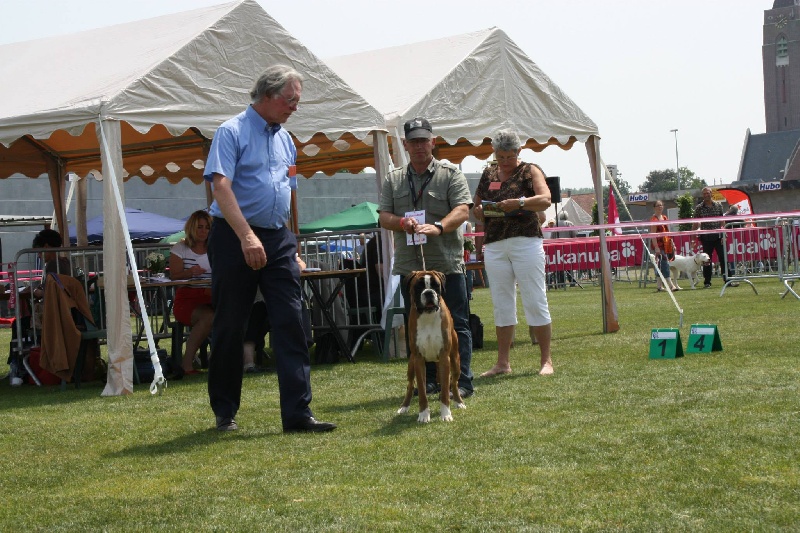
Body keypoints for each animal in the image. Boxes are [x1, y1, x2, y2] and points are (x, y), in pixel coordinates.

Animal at [396, 272, 466, 422]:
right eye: (418, 286)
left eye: (436, 285)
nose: (428, 292)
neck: (427, 316)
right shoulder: (418, 359)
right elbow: (422, 391)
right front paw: (423, 414)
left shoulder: (445, 358)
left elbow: (445, 389)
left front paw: (446, 414)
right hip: (411, 365)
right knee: (410, 385)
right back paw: (404, 407)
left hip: (455, 362)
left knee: (454, 383)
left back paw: (459, 402)